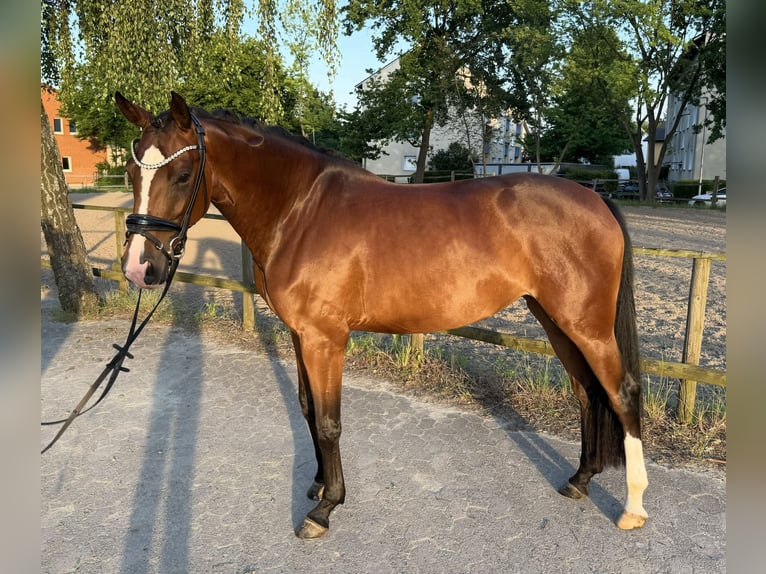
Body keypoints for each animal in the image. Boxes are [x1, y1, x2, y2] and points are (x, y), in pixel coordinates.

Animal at [114, 91, 648, 538]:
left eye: (183, 175)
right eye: (132, 174)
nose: (139, 268)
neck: (300, 209)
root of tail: (595, 197)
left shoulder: (326, 338)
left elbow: (330, 421)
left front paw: (325, 508)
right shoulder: (300, 334)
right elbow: (308, 410)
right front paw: (317, 483)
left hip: (586, 326)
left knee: (621, 392)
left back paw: (633, 508)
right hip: (555, 320)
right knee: (587, 392)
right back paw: (580, 479)